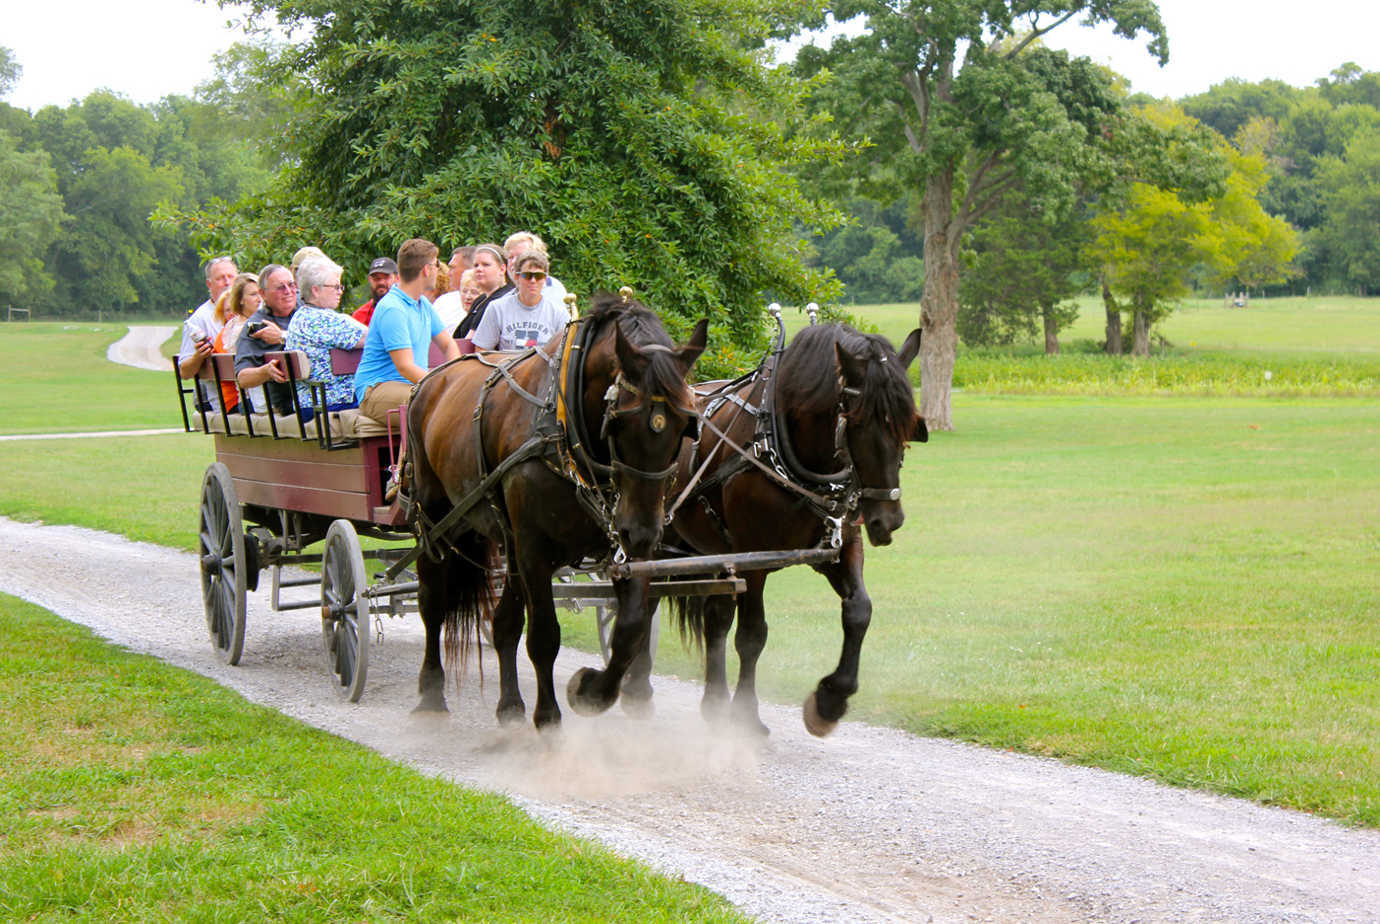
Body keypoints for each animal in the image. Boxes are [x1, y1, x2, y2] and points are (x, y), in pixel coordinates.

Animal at [400, 296, 701, 733]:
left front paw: (593, 691)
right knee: (433, 602)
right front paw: (548, 717)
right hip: (437, 521)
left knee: (504, 623)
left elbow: (629, 629)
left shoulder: (626, 548)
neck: (566, 428)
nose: (642, 530)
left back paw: (509, 705)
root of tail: (429, 381)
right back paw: (430, 693)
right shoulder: (534, 550)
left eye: (684, 425)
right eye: (619, 422)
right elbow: (544, 635)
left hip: (505, 542)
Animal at [659, 324, 921, 739]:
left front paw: (830, 700)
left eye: (908, 424)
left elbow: (859, 611)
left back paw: (713, 703)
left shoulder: (841, 546)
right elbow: (752, 635)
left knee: (716, 616)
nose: (888, 518)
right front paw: (746, 715)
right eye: (859, 422)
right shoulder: (753, 557)